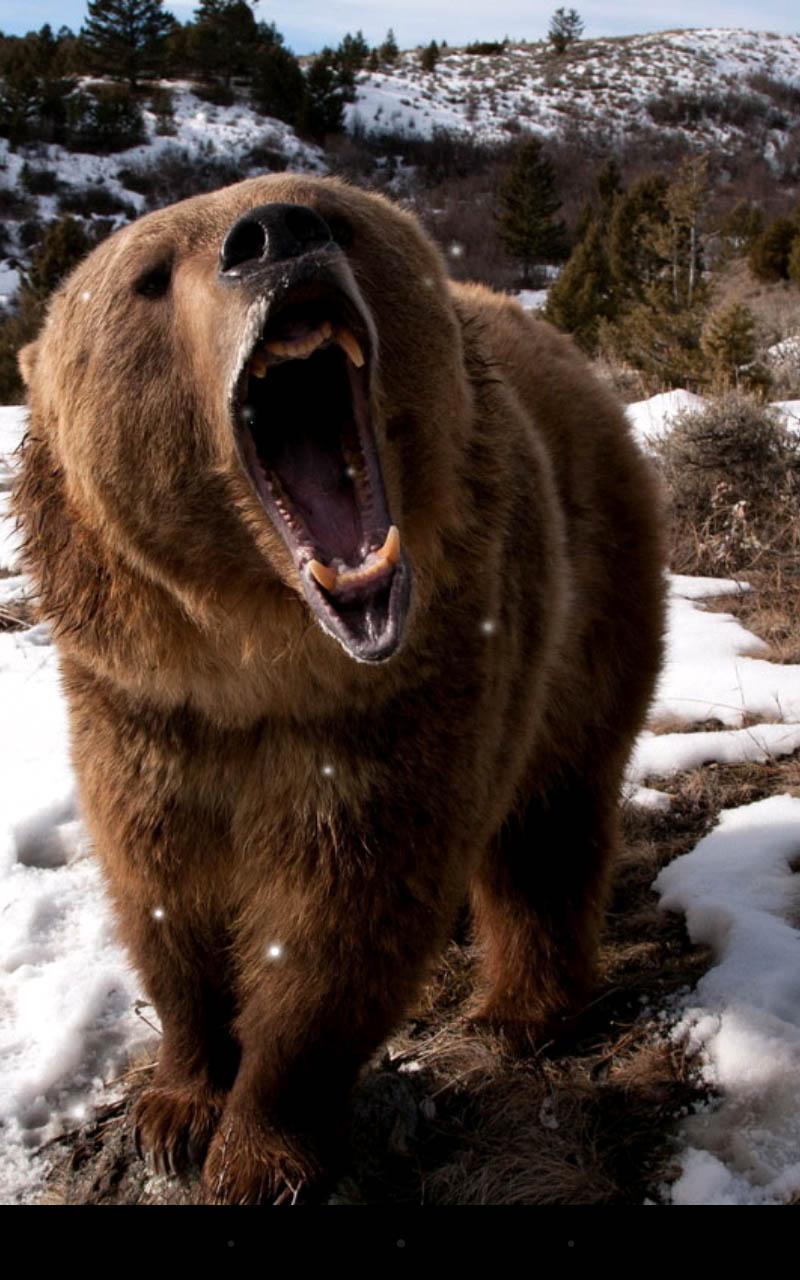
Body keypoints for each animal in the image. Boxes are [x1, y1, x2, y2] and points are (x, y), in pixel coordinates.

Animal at [13, 174, 665, 1205]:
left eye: (333, 212)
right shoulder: (142, 710)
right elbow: (164, 893)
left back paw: (520, 1011)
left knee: (549, 821)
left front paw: (258, 1151)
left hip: (588, 605)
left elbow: (341, 923)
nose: (275, 235)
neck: (257, 660)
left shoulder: (394, 709)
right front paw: (175, 1108)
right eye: (148, 276)